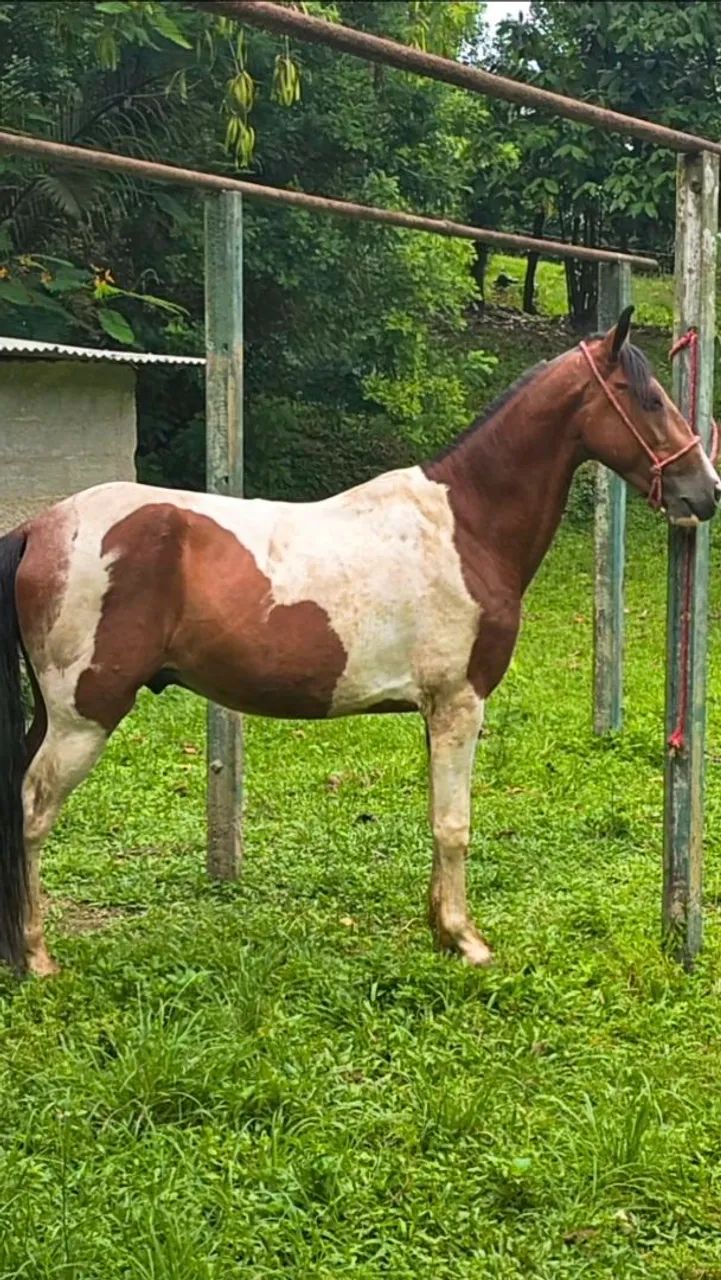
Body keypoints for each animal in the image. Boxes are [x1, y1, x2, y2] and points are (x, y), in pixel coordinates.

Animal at [0, 307, 718, 977]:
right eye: (648, 399)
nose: (705, 491)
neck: (466, 526)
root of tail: (40, 527)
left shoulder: (435, 710)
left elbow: (436, 819)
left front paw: (439, 929)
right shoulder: (459, 704)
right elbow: (453, 825)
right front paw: (464, 939)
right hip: (83, 718)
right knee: (30, 811)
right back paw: (36, 957)